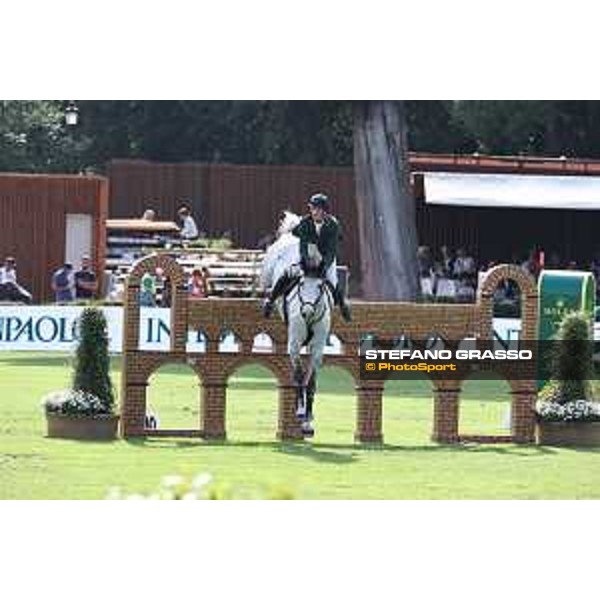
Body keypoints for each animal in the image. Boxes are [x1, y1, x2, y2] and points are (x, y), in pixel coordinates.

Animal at [262, 211, 336, 436]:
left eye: (321, 286)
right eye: (301, 284)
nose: (306, 311)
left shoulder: (317, 346)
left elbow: (311, 380)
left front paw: (308, 421)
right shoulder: (294, 344)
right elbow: (298, 375)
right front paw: (301, 412)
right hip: (269, 268)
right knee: (267, 282)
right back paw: (266, 301)